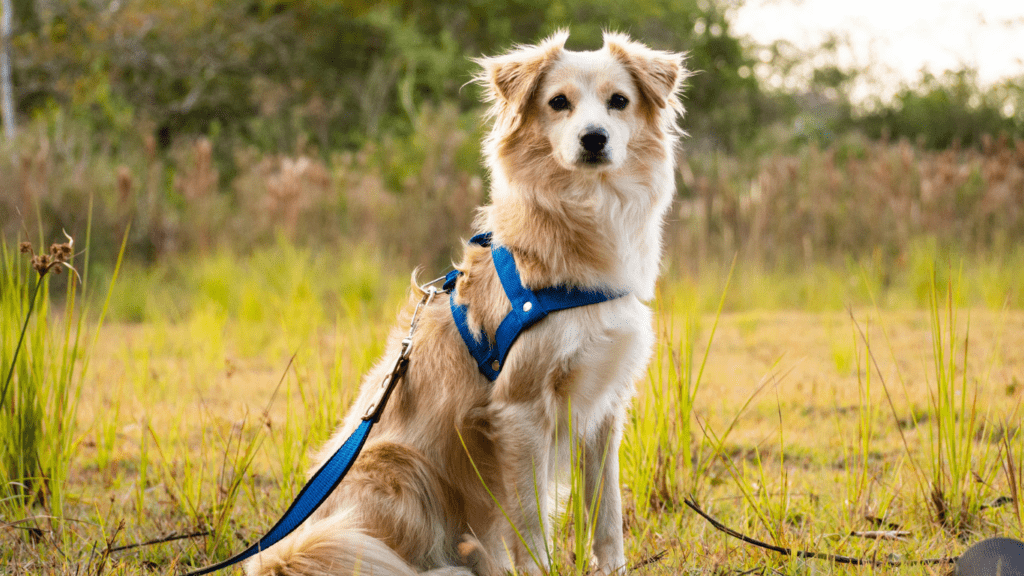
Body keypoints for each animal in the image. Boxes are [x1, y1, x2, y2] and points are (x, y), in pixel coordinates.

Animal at [243, 30, 684, 573]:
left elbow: (607, 515)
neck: (583, 217)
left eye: (618, 101)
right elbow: (532, 527)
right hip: (401, 467)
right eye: (558, 102)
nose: (594, 138)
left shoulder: (603, 407)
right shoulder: (520, 410)